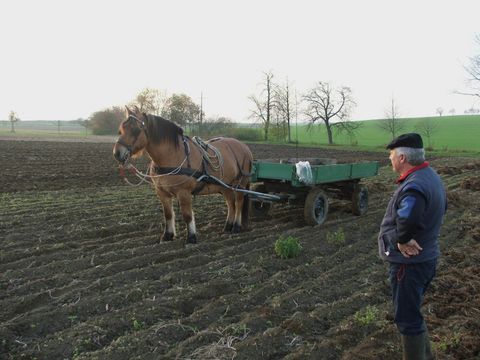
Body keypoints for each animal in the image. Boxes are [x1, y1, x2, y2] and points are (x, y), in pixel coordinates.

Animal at [114, 105, 253, 243]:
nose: (117, 153)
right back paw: (227, 226)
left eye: (136, 130)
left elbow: (187, 215)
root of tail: (244, 146)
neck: (173, 154)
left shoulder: (184, 192)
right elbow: (168, 214)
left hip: (240, 183)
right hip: (225, 186)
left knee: (238, 202)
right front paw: (167, 235)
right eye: (121, 130)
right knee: (230, 204)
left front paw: (191, 237)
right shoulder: (162, 193)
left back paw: (236, 226)